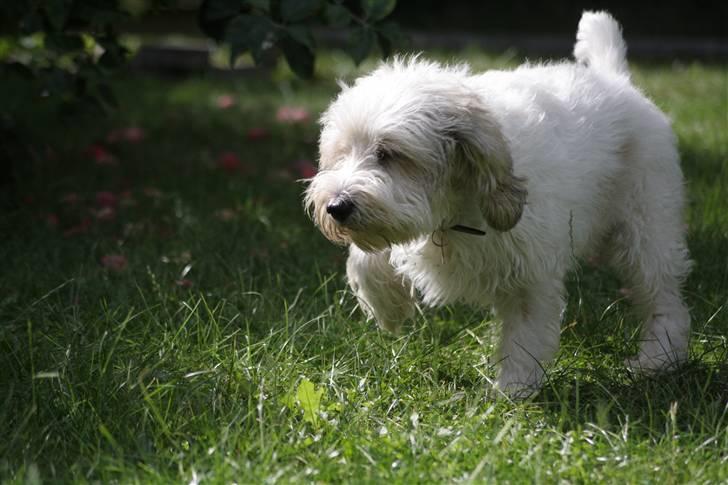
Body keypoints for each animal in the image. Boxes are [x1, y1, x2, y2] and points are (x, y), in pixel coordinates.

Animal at [304, 12, 692, 398]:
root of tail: (614, 78)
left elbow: (524, 337)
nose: (337, 207)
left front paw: (512, 394)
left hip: (647, 230)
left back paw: (658, 359)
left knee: (663, 298)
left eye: (387, 154)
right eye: (341, 154)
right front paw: (387, 308)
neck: (453, 213)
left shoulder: (530, 277)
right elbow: (366, 256)